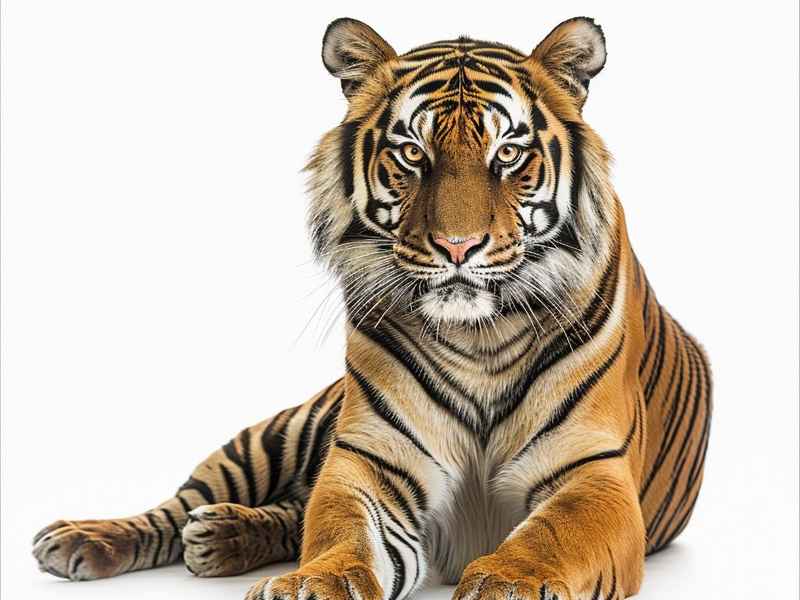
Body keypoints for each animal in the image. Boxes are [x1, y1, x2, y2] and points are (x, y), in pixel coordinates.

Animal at [32, 16, 712, 600]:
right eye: (412, 153)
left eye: (508, 155)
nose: (458, 246)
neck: (479, 338)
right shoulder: (367, 460)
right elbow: (341, 533)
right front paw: (311, 585)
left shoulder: (593, 472)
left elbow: (549, 537)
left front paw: (509, 582)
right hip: (276, 434)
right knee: (176, 508)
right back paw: (85, 539)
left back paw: (218, 536)